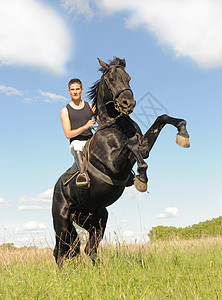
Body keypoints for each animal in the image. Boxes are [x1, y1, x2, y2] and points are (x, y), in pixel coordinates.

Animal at [51, 57, 189, 266]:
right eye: (111, 79)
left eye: (128, 78)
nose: (128, 103)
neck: (114, 125)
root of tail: (56, 189)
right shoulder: (113, 163)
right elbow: (131, 146)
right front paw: (142, 179)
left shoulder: (144, 148)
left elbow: (161, 119)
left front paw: (183, 135)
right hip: (62, 221)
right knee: (60, 252)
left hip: (96, 218)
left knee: (88, 249)